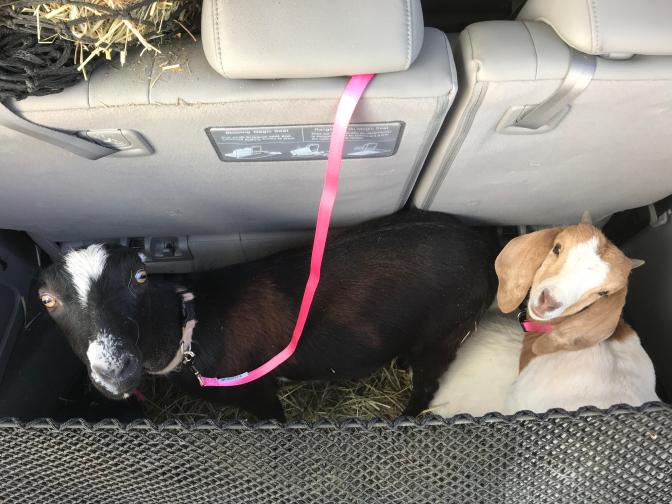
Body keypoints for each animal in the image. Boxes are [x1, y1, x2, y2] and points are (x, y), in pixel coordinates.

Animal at [38, 210, 497, 420]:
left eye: (139, 276)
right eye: (46, 300)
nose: (114, 370)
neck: (191, 326)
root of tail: (485, 249)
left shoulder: (257, 390)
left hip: (446, 329)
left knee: (429, 384)